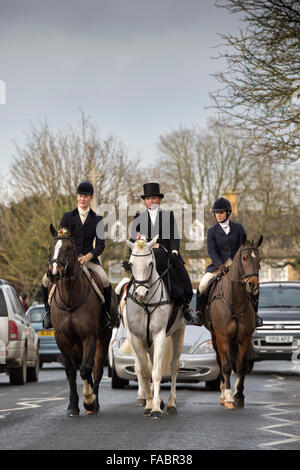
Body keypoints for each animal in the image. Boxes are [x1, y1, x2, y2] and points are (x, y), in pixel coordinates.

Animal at [47, 226, 118, 416]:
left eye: (68, 248)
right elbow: (71, 371)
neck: (70, 298)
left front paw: (89, 401)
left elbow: (86, 369)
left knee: (96, 369)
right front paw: (73, 406)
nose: (53, 274)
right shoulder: (62, 338)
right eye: (51, 248)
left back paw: (95, 402)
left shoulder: (89, 336)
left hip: (103, 338)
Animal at [124, 235, 185, 418]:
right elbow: (145, 371)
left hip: (178, 332)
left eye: (151, 263)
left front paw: (156, 408)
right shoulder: (136, 337)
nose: (141, 293)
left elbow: (157, 371)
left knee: (174, 366)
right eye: (131, 264)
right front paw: (150, 404)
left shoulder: (159, 335)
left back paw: (171, 403)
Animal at [204, 234, 262, 408]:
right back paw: (223, 395)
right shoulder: (222, 337)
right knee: (220, 362)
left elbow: (241, 366)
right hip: (215, 338)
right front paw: (229, 396)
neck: (235, 300)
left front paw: (239, 396)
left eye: (260, 259)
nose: (252, 285)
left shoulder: (245, 339)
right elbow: (226, 366)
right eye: (244, 258)